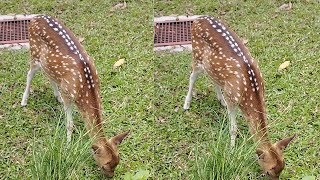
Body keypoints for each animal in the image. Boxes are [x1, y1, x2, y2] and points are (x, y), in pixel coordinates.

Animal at [20, 15, 129, 177]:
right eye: (104, 165)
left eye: (118, 162)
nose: (110, 177)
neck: (86, 90)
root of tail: (34, 18)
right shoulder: (68, 94)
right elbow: (69, 124)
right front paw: (68, 145)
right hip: (34, 52)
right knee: (29, 74)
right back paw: (24, 101)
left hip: (47, 63)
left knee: (49, 75)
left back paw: (56, 96)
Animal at [182, 16, 296, 179]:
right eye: (269, 171)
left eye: (282, 169)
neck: (250, 94)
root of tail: (198, 18)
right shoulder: (232, 98)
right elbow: (233, 128)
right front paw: (231, 150)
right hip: (196, 55)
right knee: (192, 76)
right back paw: (186, 104)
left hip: (211, 66)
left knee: (213, 78)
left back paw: (220, 99)